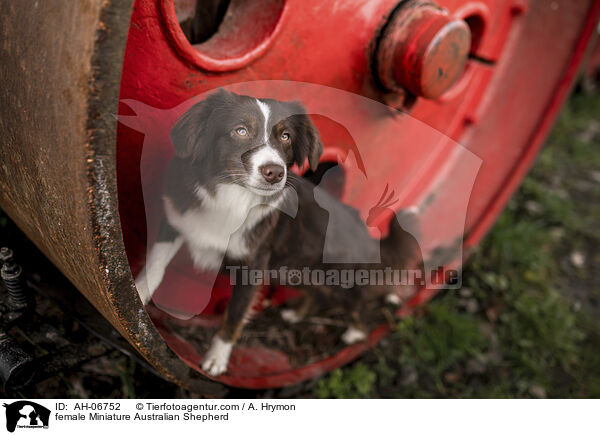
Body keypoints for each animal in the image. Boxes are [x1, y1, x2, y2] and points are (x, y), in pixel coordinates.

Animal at [135, 87, 422, 374]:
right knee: (317, 293)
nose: (274, 172)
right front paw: (138, 296)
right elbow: (155, 264)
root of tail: (368, 235)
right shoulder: (176, 219)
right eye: (240, 130)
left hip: (339, 278)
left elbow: (234, 314)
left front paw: (217, 358)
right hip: (295, 270)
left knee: (358, 305)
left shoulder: (254, 264)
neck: (231, 199)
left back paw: (354, 332)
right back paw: (296, 313)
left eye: (286, 136)